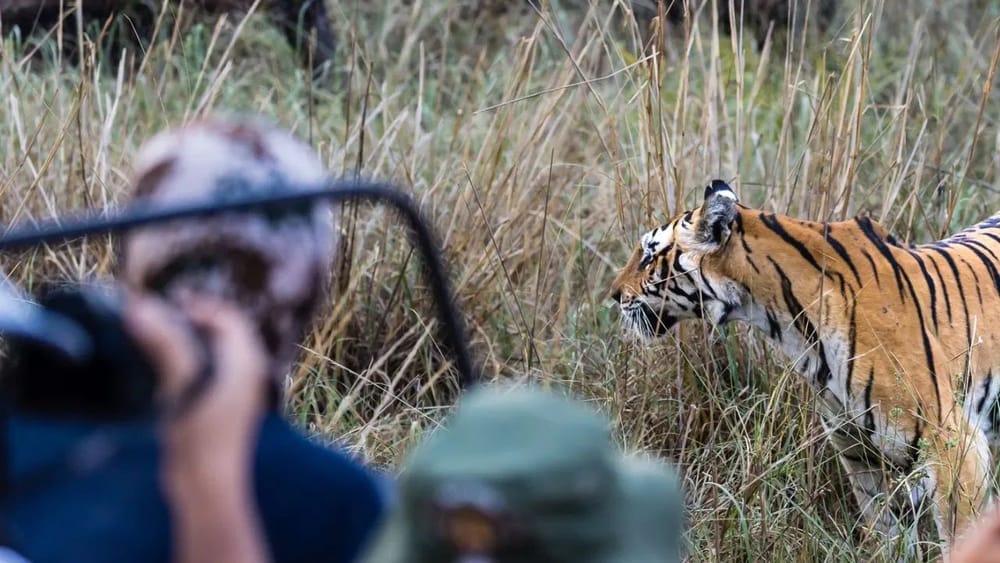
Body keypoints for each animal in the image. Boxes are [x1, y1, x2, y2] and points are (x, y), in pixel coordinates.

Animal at [609, 179, 1000, 554]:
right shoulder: (857, 450)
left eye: (649, 254)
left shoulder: (954, 446)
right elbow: (887, 535)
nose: (613, 294)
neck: (792, 325)